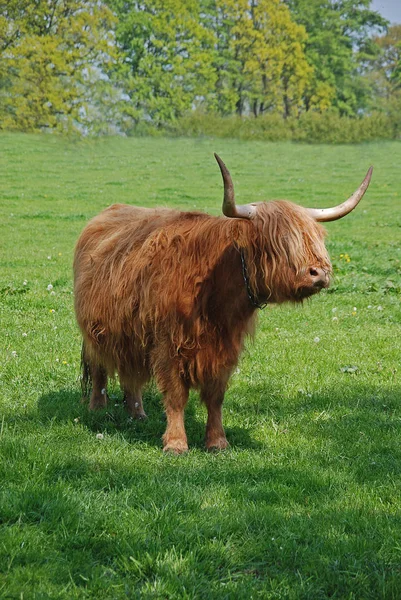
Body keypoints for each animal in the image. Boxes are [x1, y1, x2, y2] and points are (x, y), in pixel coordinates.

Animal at [73, 155, 370, 450]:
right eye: (279, 242)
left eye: (316, 239)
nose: (320, 273)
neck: (217, 297)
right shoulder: (167, 344)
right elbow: (176, 395)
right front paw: (176, 443)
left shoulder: (226, 348)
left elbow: (215, 397)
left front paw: (217, 441)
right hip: (96, 329)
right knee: (99, 366)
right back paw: (97, 407)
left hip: (130, 332)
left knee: (130, 373)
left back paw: (137, 413)